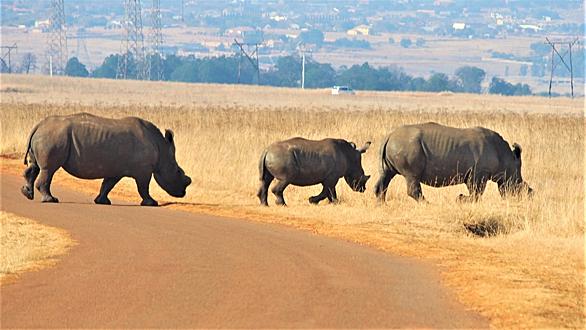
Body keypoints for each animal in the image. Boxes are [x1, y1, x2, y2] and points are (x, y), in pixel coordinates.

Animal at [21, 113, 192, 206]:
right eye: (178, 171)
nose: (183, 192)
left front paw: (102, 201)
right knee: (49, 170)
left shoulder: (116, 169)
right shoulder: (143, 171)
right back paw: (51, 200)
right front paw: (152, 203)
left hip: (47, 136)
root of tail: (38, 125)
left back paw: (27, 194)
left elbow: (107, 185)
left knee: (35, 167)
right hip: (53, 137)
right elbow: (143, 187)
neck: (161, 149)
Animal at [372, 122, 532, 202]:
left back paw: (381, 205)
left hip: (395, 147)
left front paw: (461, 199)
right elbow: (477, 193)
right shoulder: (479, 173)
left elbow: (475, 193)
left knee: (386, 175)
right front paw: (460, 199)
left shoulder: (474, 173)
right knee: (412, 177)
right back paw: (428, 205)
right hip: (407, 147)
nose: (528, 197)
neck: (506, 158)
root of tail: (389, 136)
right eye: (519, 186)